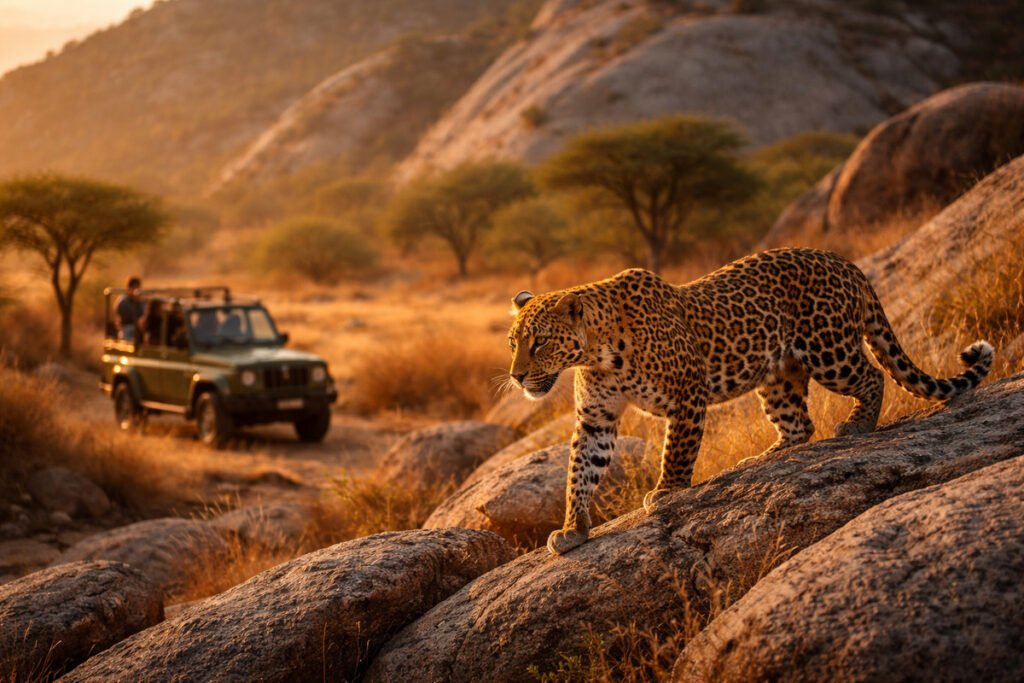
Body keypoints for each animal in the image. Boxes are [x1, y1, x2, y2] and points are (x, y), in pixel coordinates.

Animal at [506, 247, 994, 555]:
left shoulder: (687, 393)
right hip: (777, 377)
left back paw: (857, 425)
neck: (598, 352)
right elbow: (580, 471)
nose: (516, 375)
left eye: (540, 341)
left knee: (872, 376)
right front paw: (572, 529)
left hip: (829, 351)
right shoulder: (597, 418)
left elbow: (676, 452)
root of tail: (845, 262)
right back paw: (762, 457)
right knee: (799, 424)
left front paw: (666, 492)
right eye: (513, 341)